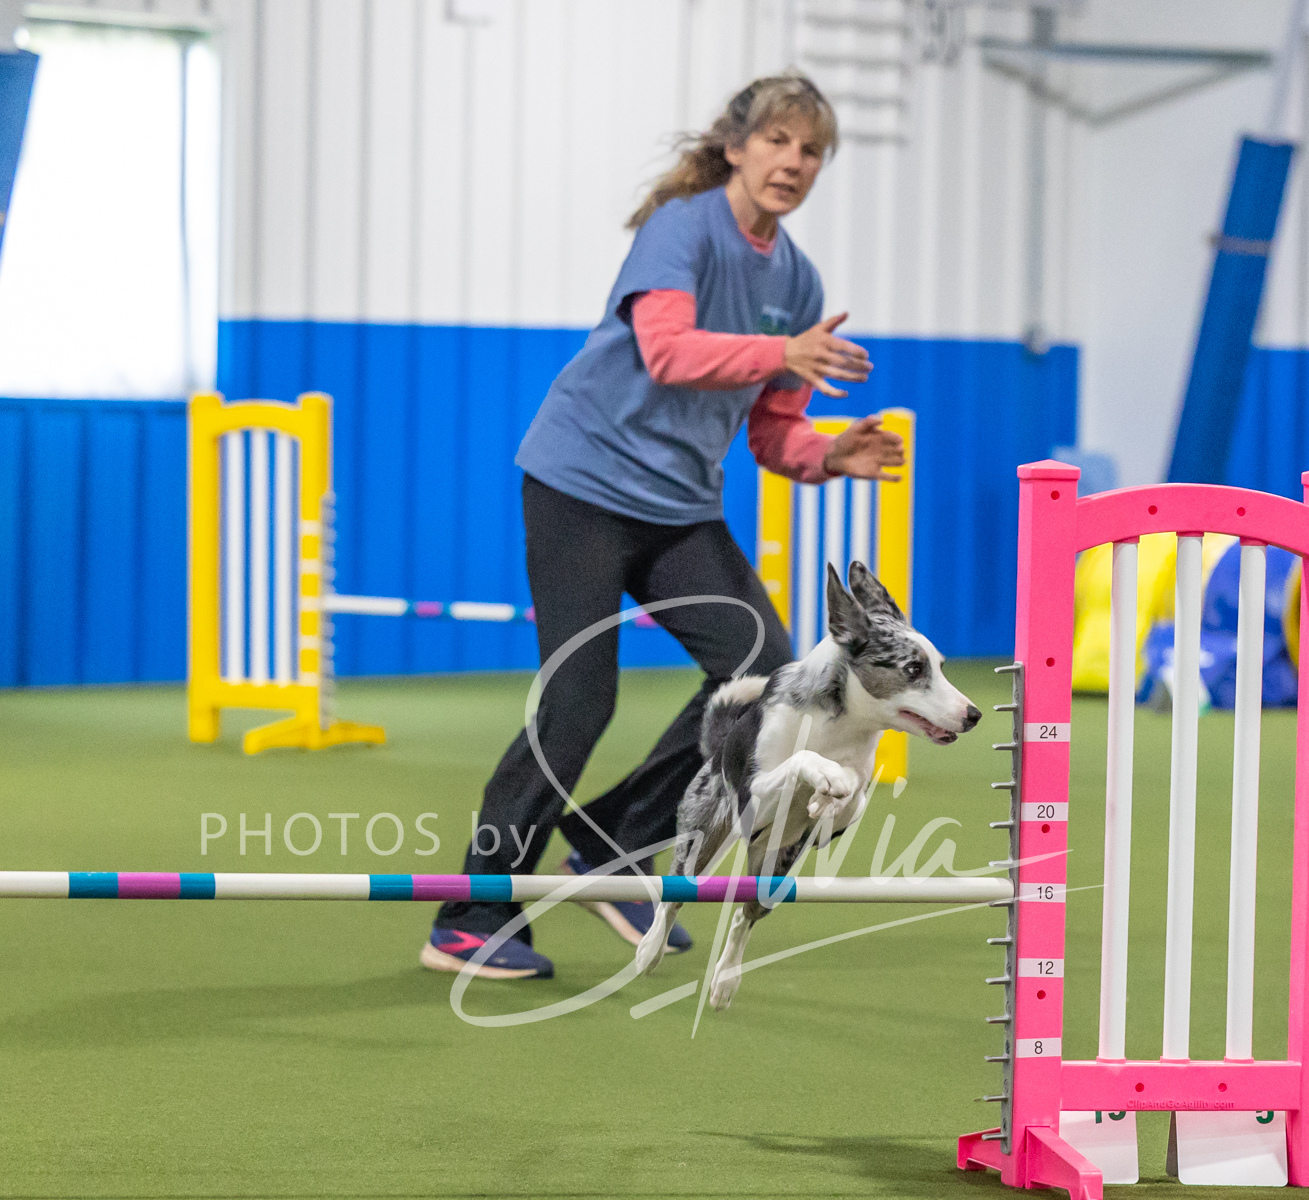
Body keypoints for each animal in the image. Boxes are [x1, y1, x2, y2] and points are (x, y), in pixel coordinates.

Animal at [634, 560, 981, 1009]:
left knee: (745, 916)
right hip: (705, 835)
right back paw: (650, 950)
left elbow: (853, 795)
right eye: (913, 669)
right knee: (675, 895)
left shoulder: (836, 819)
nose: (973, 714)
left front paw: (826, 797)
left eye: (940, 666)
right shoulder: (754, 803)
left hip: (777, 867)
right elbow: (802, 761)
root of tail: (717, 748)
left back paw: (725, 982)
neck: (840, 725)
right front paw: (823, 778)